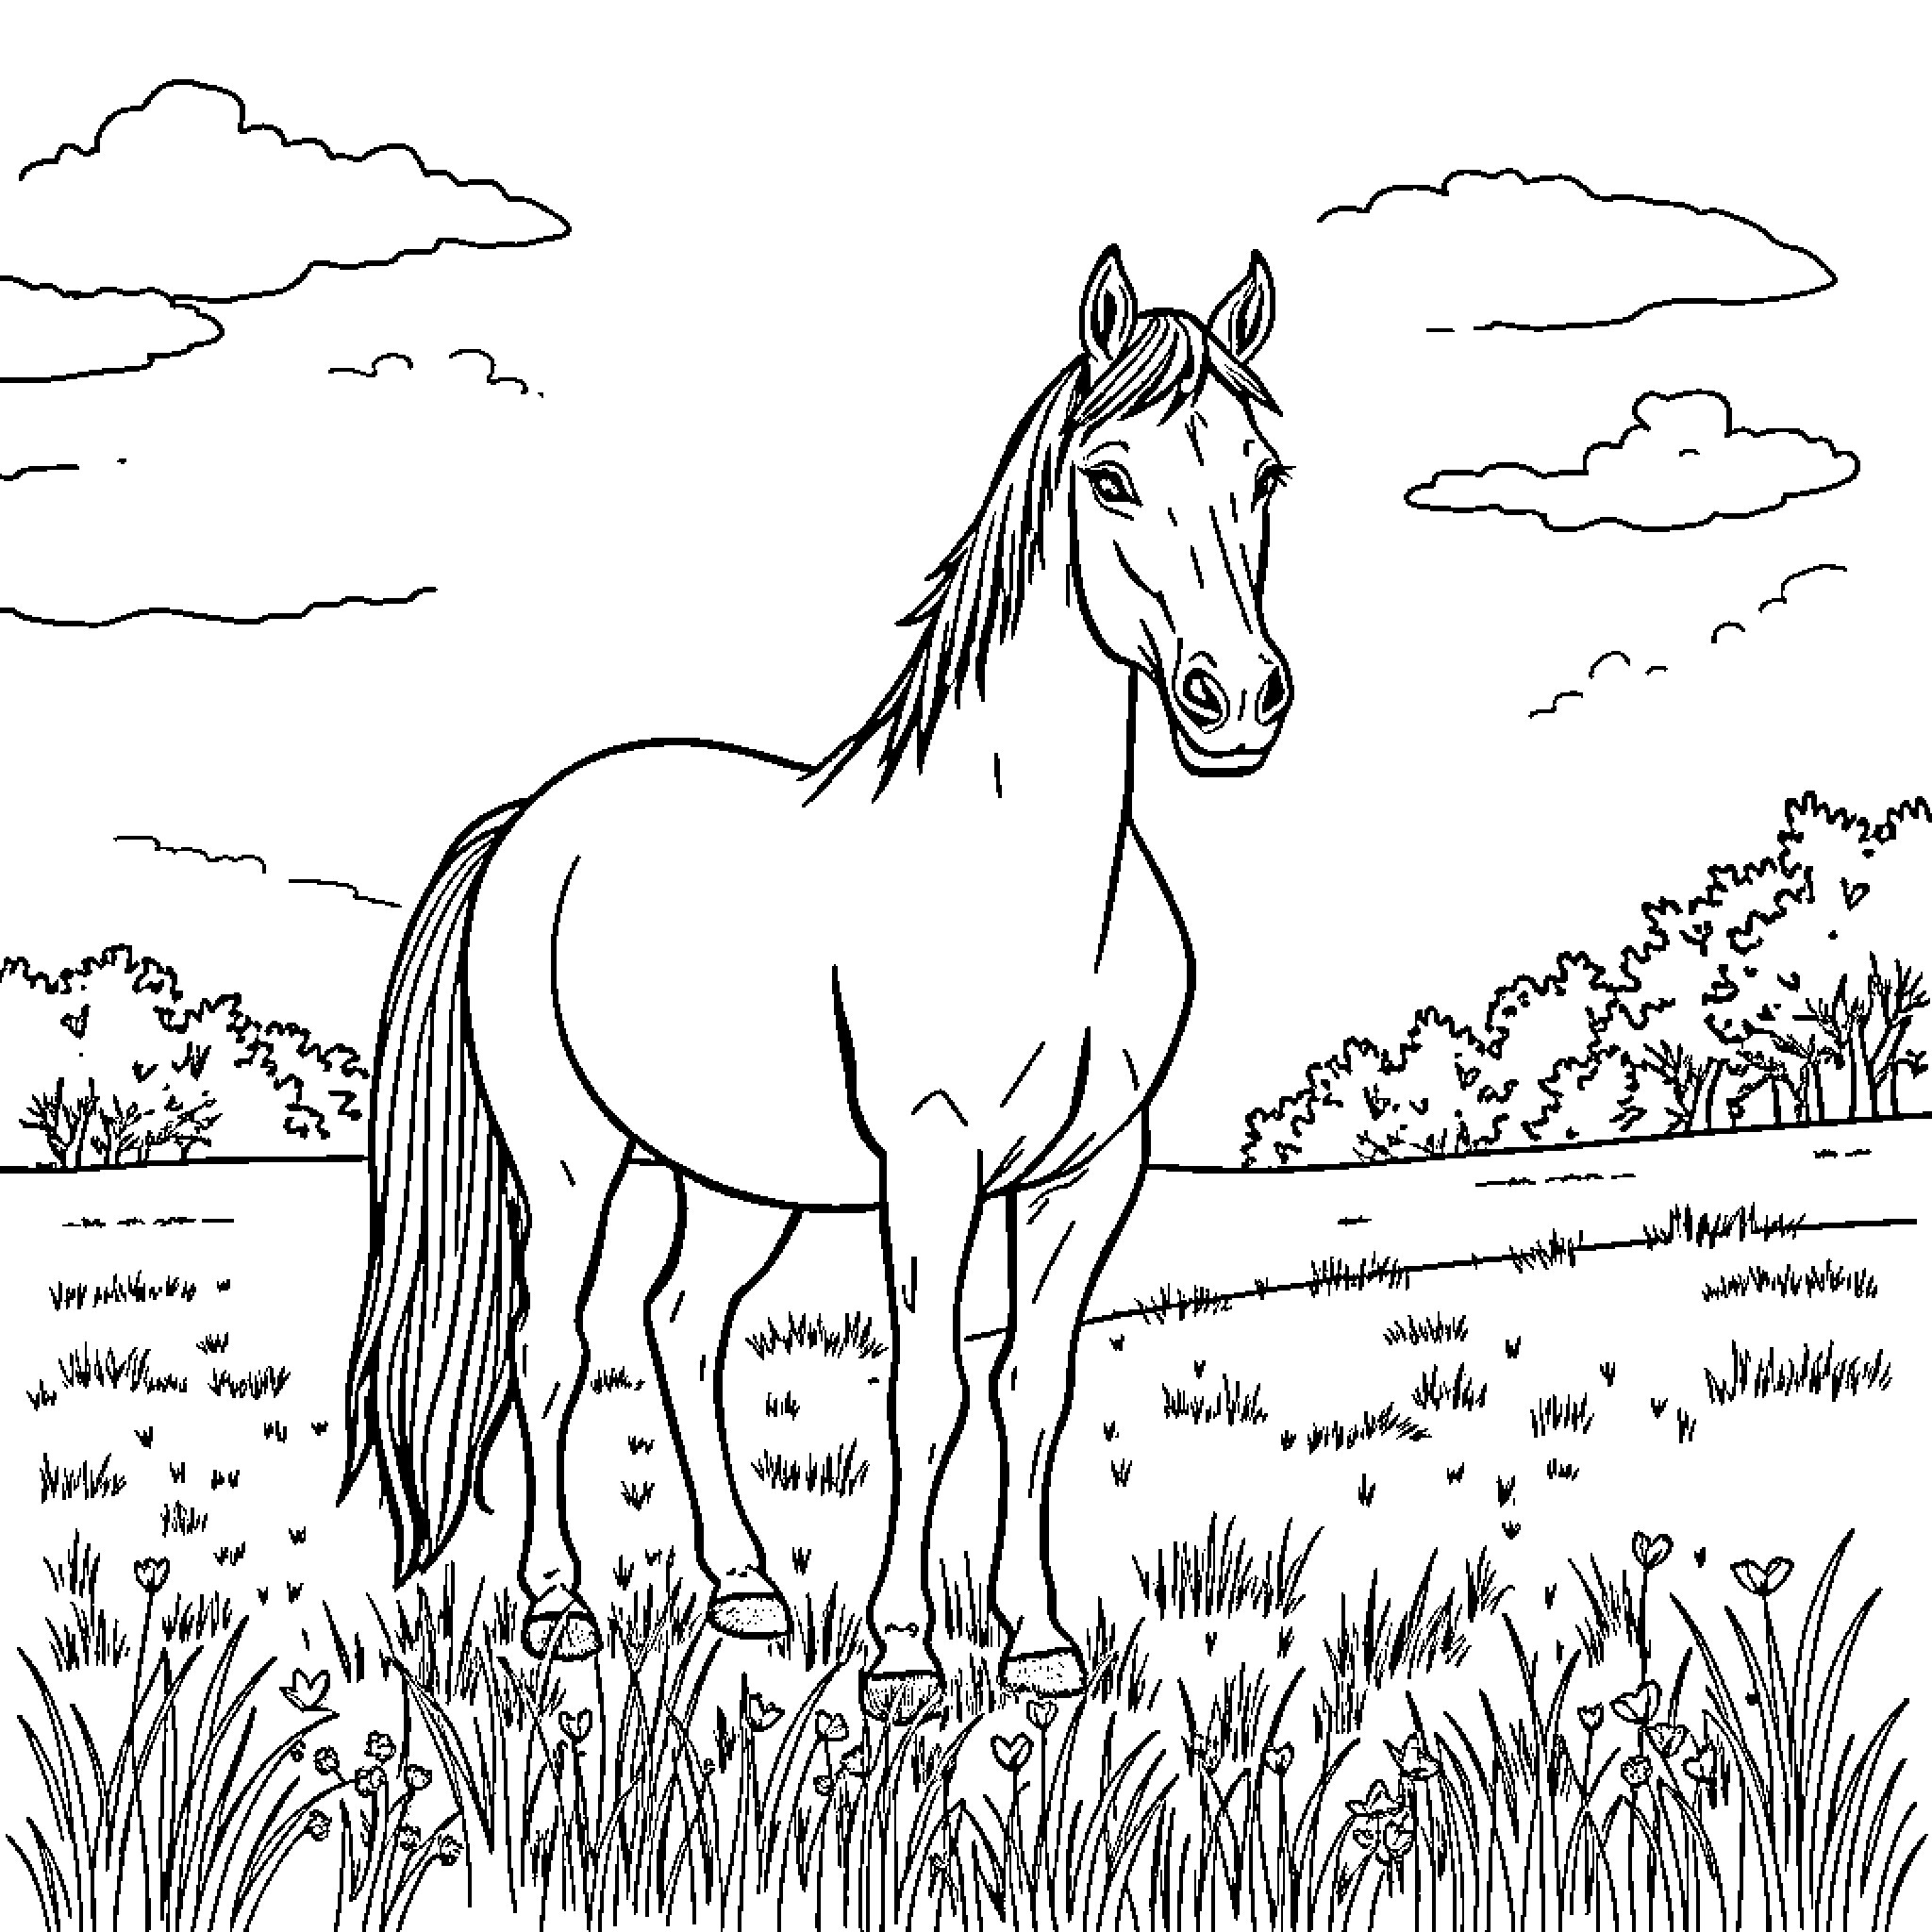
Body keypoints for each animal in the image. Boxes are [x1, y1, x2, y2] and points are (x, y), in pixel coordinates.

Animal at [340, 244, 1292, 1722]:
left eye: (1262, 474)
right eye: (1110, 475)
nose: (1235, 701)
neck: (1023, 871)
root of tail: (532, 819)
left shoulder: (1092, 1173)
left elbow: (1033, 1385)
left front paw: (1037, 1643)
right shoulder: (932, 1162)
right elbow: (925, 1393)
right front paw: (903, 1655)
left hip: (741, 1180)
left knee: (680, 1328)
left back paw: (744, 1585)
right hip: (568, 1161)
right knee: (553, 1350)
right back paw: (559, 1606)